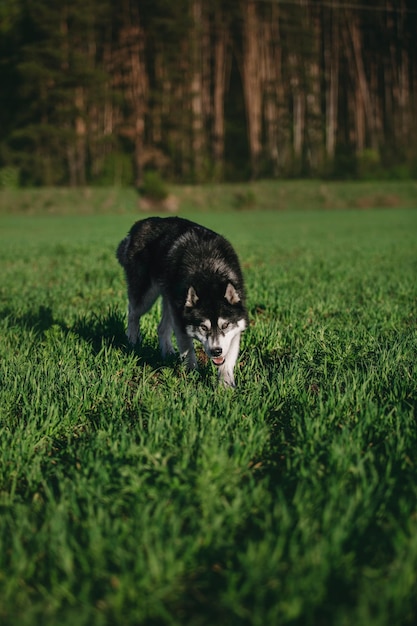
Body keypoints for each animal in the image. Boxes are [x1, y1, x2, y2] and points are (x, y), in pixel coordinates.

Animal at [115, 217, 247, 388]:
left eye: (225, 325)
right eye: (203, 327)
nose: (216, 351)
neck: (209, 274)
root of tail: (138, 225)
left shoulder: (235, 329)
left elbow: (227, 362)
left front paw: (225, 386)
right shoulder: (180, 320)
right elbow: (187, 348)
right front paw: (192, 375)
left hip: (169, 300)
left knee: (161, 327)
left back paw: (168, 354)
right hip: (146, 298)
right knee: (132, 314)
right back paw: (132, 342)